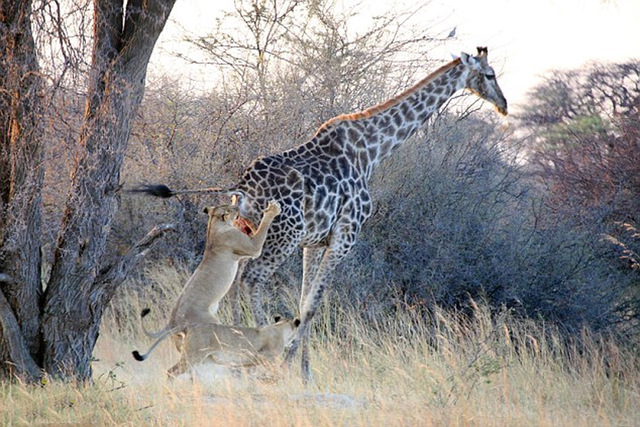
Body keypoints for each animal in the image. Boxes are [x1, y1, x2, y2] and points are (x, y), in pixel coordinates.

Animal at [135, 47, 504, 384]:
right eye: (490, 74)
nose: (504, 105)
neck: (373, 151)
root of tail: (242, 187)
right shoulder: (345, 236)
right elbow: (313, 304)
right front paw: (292, 365)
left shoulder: (314, 242)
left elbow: (303, 302)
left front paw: (305, 372)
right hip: (281, 235)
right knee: (252, 279)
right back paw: (258, 350)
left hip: (248, 231)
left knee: (236, 280)